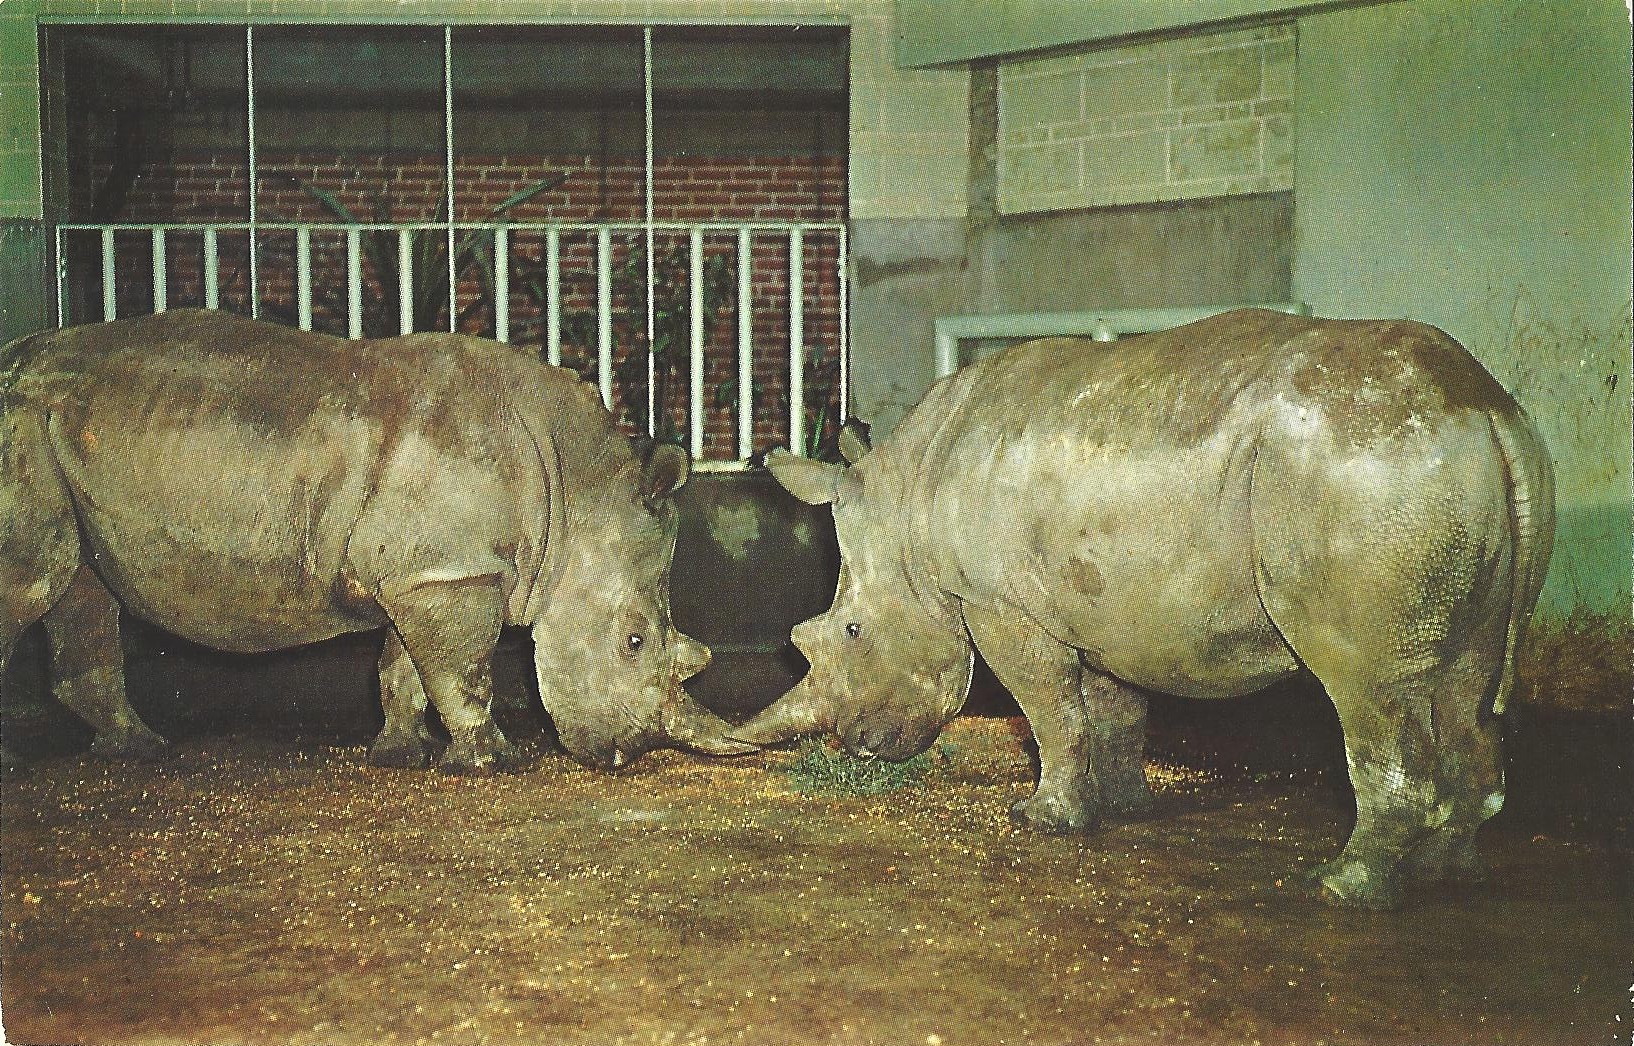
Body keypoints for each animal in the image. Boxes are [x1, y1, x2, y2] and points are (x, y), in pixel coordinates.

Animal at [0, 309, 753, 774]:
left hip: (61, 435)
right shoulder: (452, 574)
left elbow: (405, 668)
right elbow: (464, 671)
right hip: (22, 425)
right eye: (634, 642)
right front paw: (494, 760)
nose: (626, 752)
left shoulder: (428, 570)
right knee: (36, 579)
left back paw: (137, 749)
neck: (577, 497)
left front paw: (399, 754)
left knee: (81, 587)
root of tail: (17, 359)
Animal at [735, 308, 1555, 909]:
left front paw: (1042, 820)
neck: (905, 502)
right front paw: (1125, 808)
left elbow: (1049, 711)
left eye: (851, 631)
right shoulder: (1097, 602)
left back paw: (1341, 888)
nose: (859, 747)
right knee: (1467, 681)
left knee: (1365, 684)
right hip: (1434, 468)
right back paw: (1449, 873)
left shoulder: (1001, 605)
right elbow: (1110, 709)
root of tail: (1485, 409)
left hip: (1364, 470)